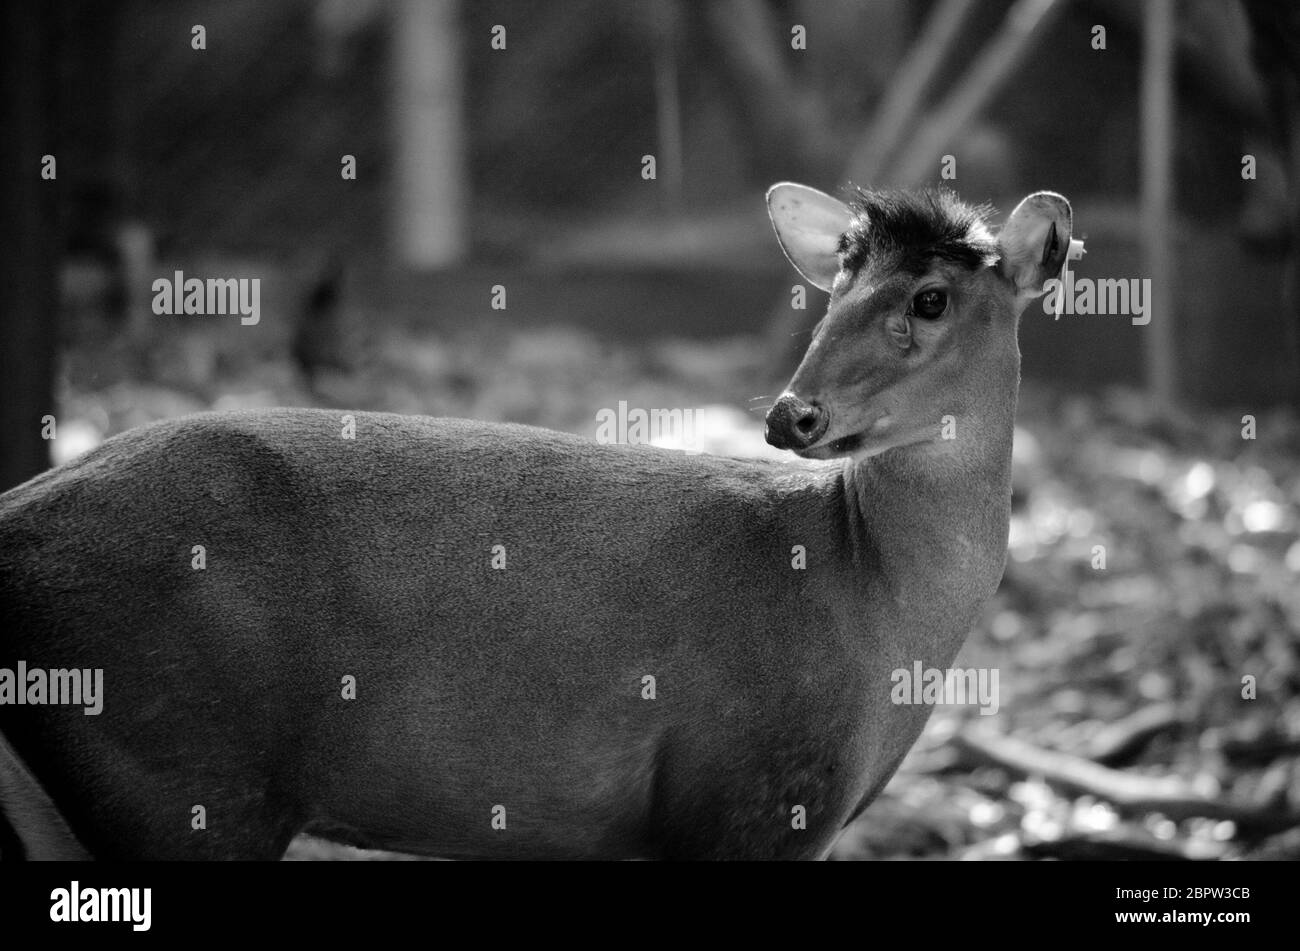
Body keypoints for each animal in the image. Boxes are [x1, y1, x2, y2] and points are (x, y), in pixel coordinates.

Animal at [0, 180, 1076, 862]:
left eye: (931, 297)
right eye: (835, 288)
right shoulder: (752, 791)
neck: (872, 607)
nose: (791, 414)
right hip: (178, 765)